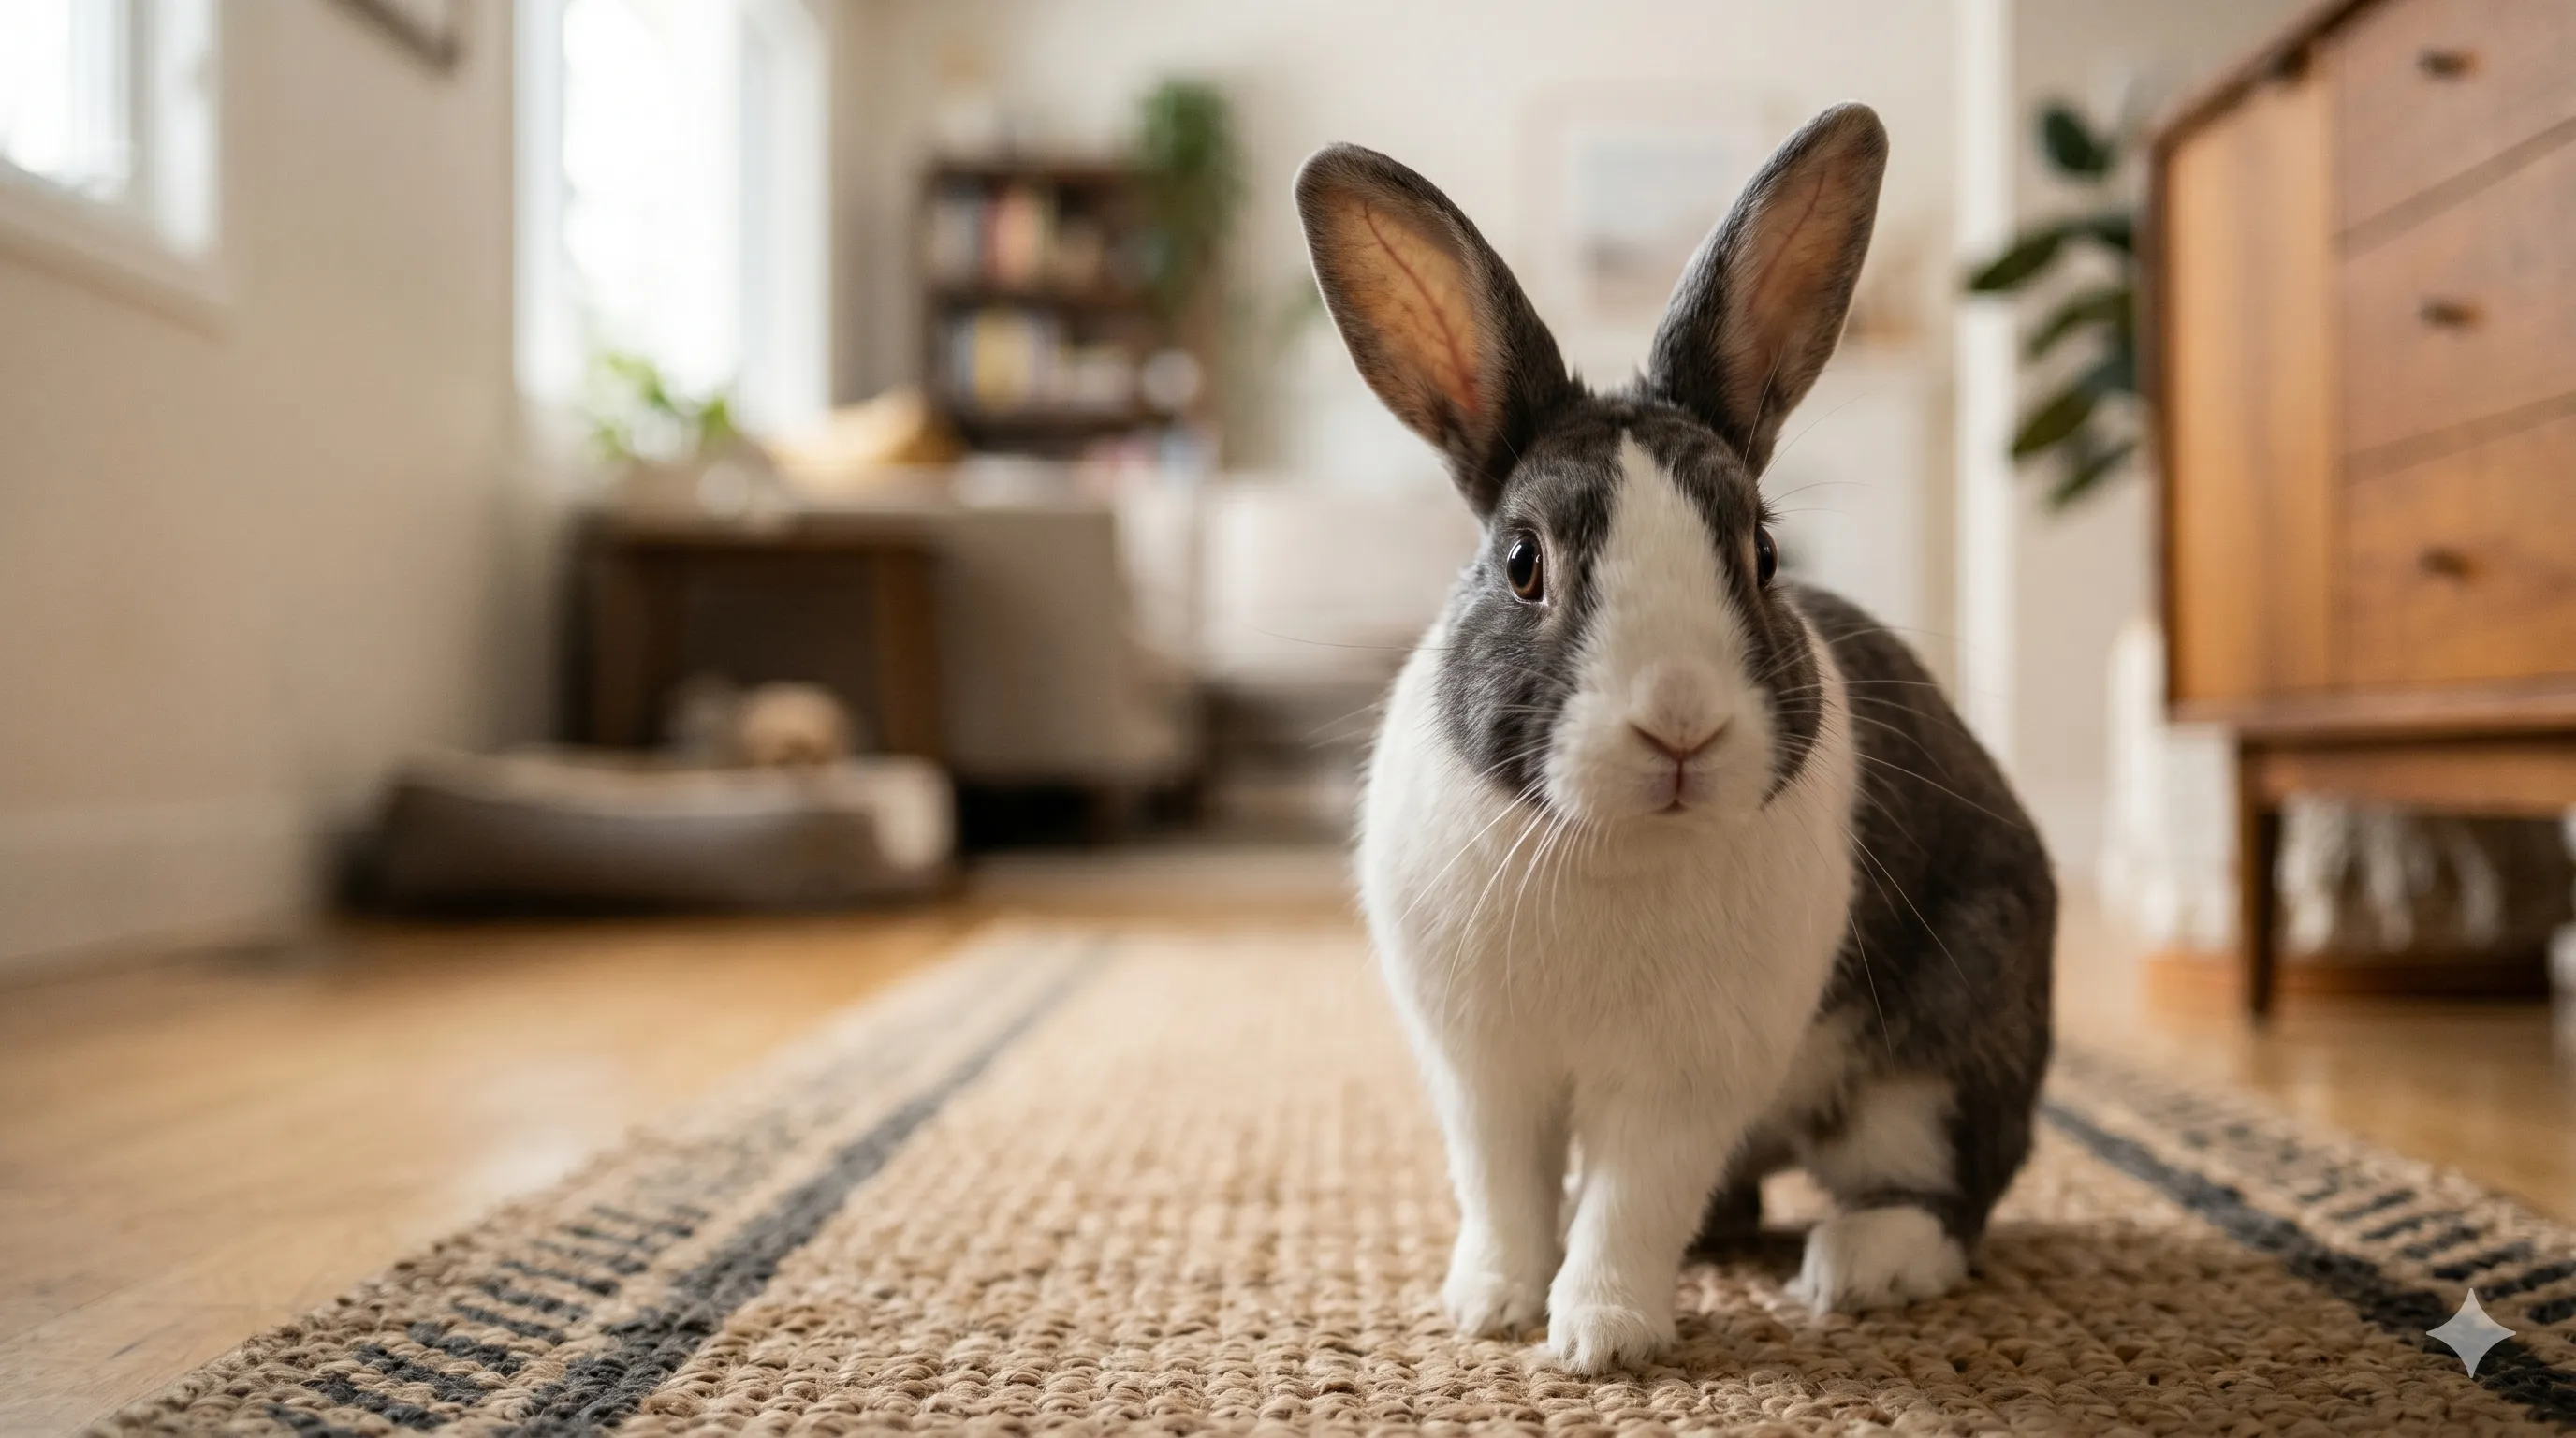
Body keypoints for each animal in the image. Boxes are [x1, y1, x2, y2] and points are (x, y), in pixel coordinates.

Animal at [1297, 102, 2054, 1376]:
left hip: (1945, 1051)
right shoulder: (1483, 1070)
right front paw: (1490, 1306)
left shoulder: (1680, 1084)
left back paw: (1860, 1265)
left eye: (1762, 553)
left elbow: (1631, 1200)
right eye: (1522, 562)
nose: (1680, 724)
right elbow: (1502, 1190)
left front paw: (1600, 1338)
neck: (1607, 843)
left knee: (1948, 1193)